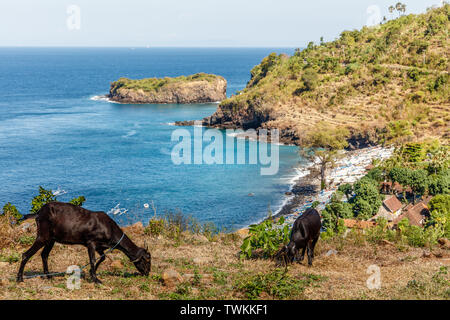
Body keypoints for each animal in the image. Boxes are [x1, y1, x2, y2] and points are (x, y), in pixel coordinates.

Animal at [16, 202, 150, 282]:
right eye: (147, 260)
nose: (147, 273)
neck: (109, 228)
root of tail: (39, 213)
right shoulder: (91, 243)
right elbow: (93, 259)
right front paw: (96, 279)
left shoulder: (100, 246)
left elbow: (102, 257)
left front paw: (92, 273)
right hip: (43, 236)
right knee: (25, 254)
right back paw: (19, 278)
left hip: (51, 239)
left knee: (44, 254)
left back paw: (48, 276)